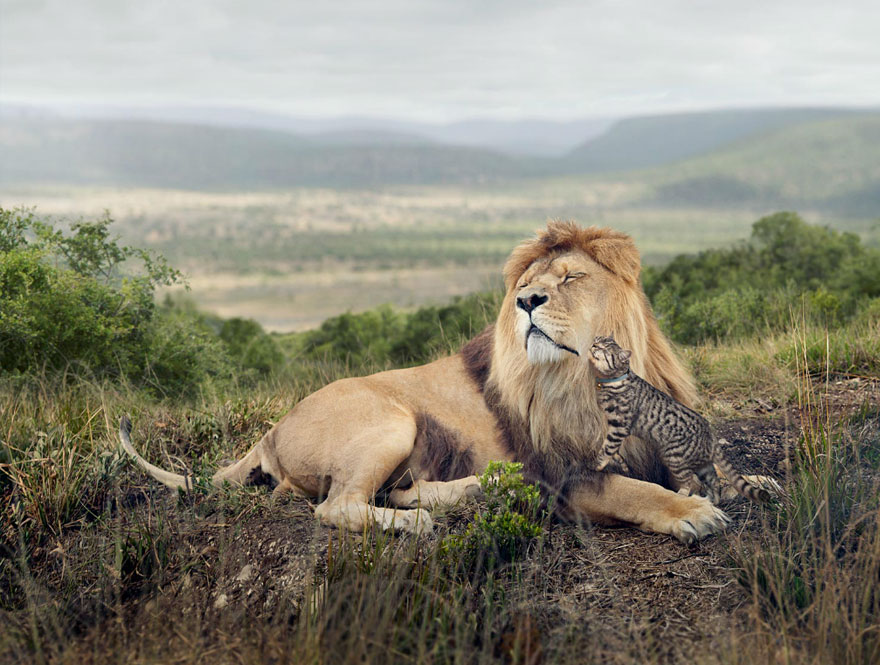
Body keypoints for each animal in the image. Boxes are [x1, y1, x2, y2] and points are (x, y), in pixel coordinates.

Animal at [120, 220, 732, 544]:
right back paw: (417, 522)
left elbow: (712, 467)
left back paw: (479, 489)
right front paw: (692, 512)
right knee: (337, 506)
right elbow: (633, 490)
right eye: (527, 285)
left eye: (573, 277)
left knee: (394, 490)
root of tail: (270, 431)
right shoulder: (563, 476)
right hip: (392, 421)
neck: (583, 376)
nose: (526, 302)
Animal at [592, 334, 768, 500]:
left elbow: (607, 448)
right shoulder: (614, 427)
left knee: (688, 480)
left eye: (604, 349)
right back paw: (712, 499)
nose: (593, 345)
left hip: (674, 458)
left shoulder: (620, 427)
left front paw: (597, 464)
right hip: (702, 466)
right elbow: (612, 450)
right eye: (597, 339)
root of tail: (710, 433)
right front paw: (618, 462)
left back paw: (683, 495)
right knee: (714, 481)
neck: (615, 380)